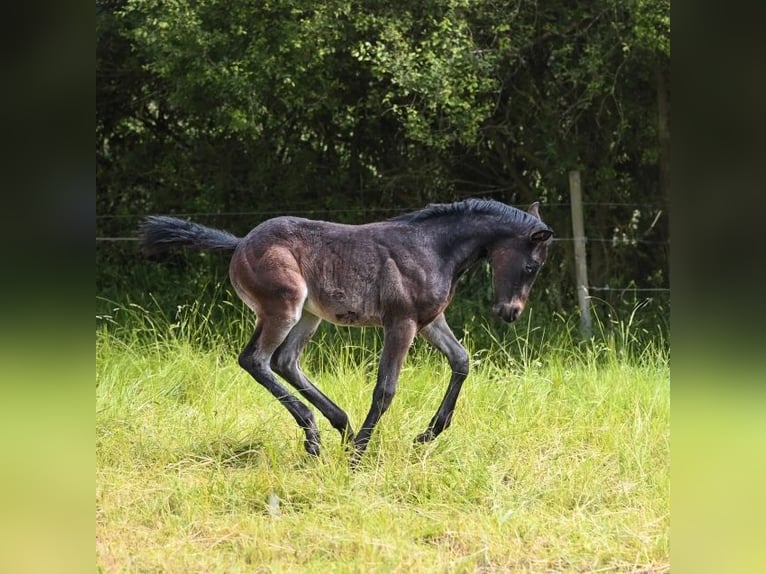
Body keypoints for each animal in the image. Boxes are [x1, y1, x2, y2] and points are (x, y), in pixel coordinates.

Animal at [141, 200, 556, 466]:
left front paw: (427, 435)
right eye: (532, 266)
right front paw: (360, 455)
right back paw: (317, 432)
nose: (510, 313)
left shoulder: (430, 321)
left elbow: (462, 360)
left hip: (309, 315)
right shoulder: (401, 323)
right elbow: (385, 389)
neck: (434, 249)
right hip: (284, 307)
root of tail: (240, 242)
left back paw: (338, 427)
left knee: (285, 361)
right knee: (256, 360)